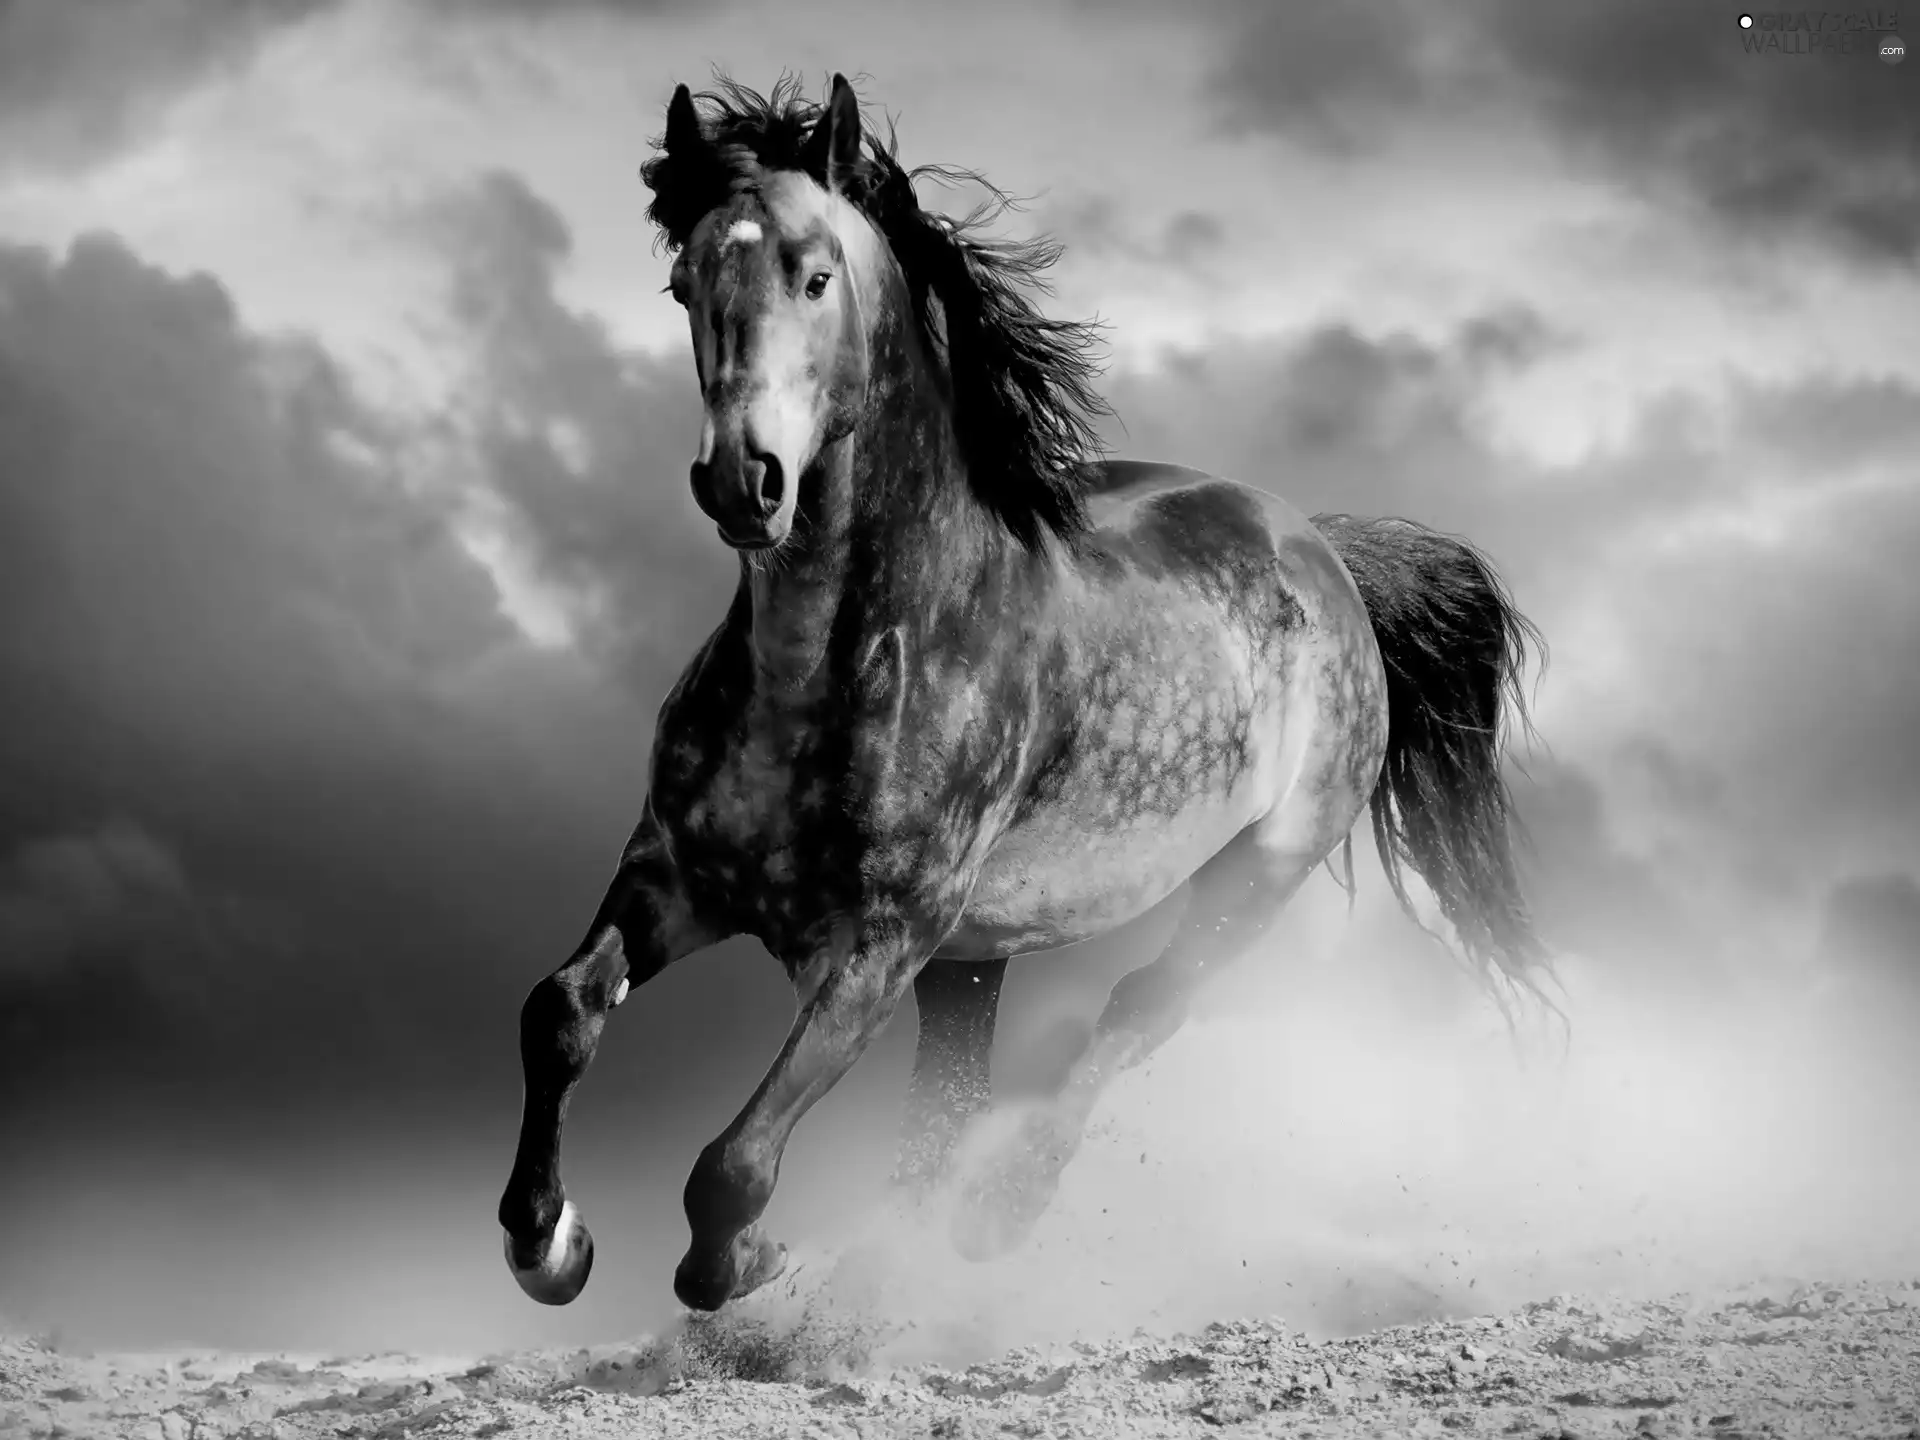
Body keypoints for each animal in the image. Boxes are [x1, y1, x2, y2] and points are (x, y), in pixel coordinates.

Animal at [495, 76, 1543, 1320]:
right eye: (684, 283)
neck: (824, 672)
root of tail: (1324, 552)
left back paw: (996, 1215)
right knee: (946, 1107)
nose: (744, 481)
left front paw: (741, 1263)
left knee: (1135, 1010)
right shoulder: (675, 876)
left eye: (816, 274)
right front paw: (549, 1245)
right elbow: (559, 1011)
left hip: (1251, 879)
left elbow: (731, 1163)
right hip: (975, 958)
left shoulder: (882, 941)